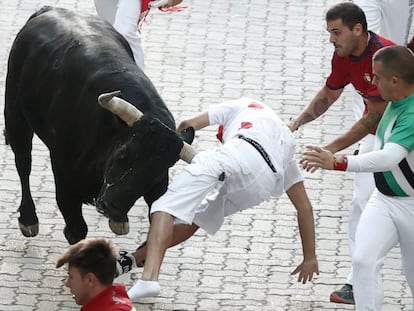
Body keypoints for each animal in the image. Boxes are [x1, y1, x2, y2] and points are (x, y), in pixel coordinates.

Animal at [4, 6, 196, 245]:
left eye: (157, 170)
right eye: (123, 152)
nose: (110, 207)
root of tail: (51, 9)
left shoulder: (158, 187)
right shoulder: (65, 179)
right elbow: (76, 230)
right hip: (15, 117)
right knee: (23, 163)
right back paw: (29, 220)